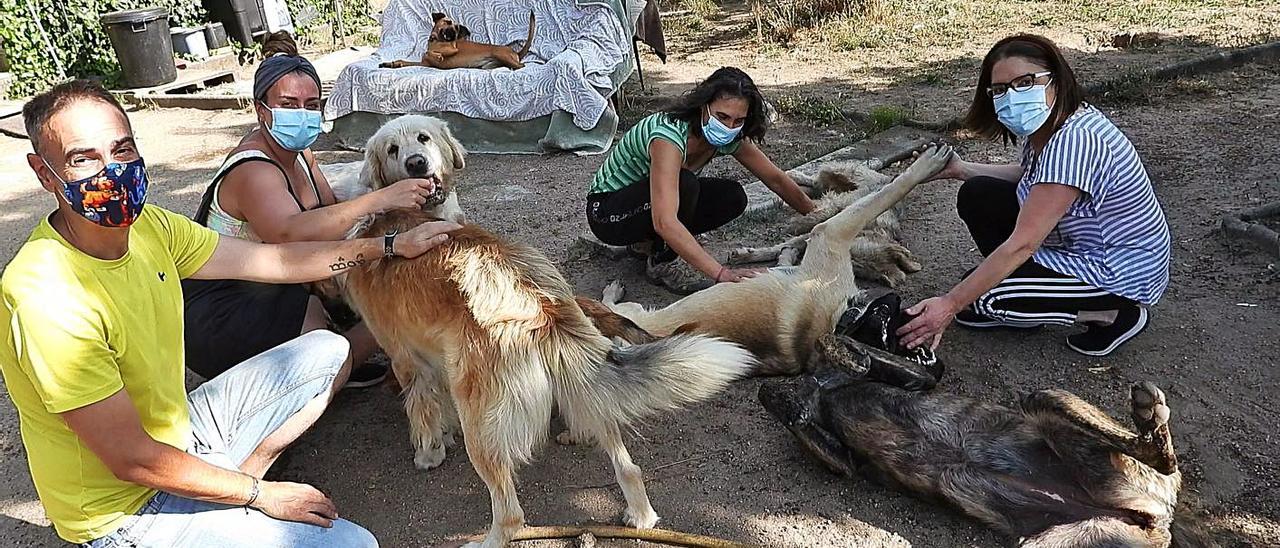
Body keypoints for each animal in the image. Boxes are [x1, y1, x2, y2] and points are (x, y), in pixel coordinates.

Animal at [343, 207, 757, 545]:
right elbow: (438, 406)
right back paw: (640, 516)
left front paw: (430, 453)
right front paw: (445, 436)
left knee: (510, 517)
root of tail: (539, 303)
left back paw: (484, 541)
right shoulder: (437, 360)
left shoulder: (406, 360)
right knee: (627, 465)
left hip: (482, 422)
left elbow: (422, 411)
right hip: (582, 381)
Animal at [599, 144, 952, 376]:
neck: (840, 320)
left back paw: (612, 291)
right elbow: (890, 190)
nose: (932, 360)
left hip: (632, 313)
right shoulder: (832, 231)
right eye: (892, 336)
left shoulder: (829, 233)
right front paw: (927, 166)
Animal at [757, 302, 1208, 545]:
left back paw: (1147, 415)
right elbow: (778, 398)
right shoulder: (842, 461)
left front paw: (848, 355)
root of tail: (1158, 516)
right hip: (1052, 541)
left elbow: (835, 349)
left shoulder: (915, 379)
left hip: (1047, 400)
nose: (883, 305)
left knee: (1159, 455)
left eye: (879, 310)